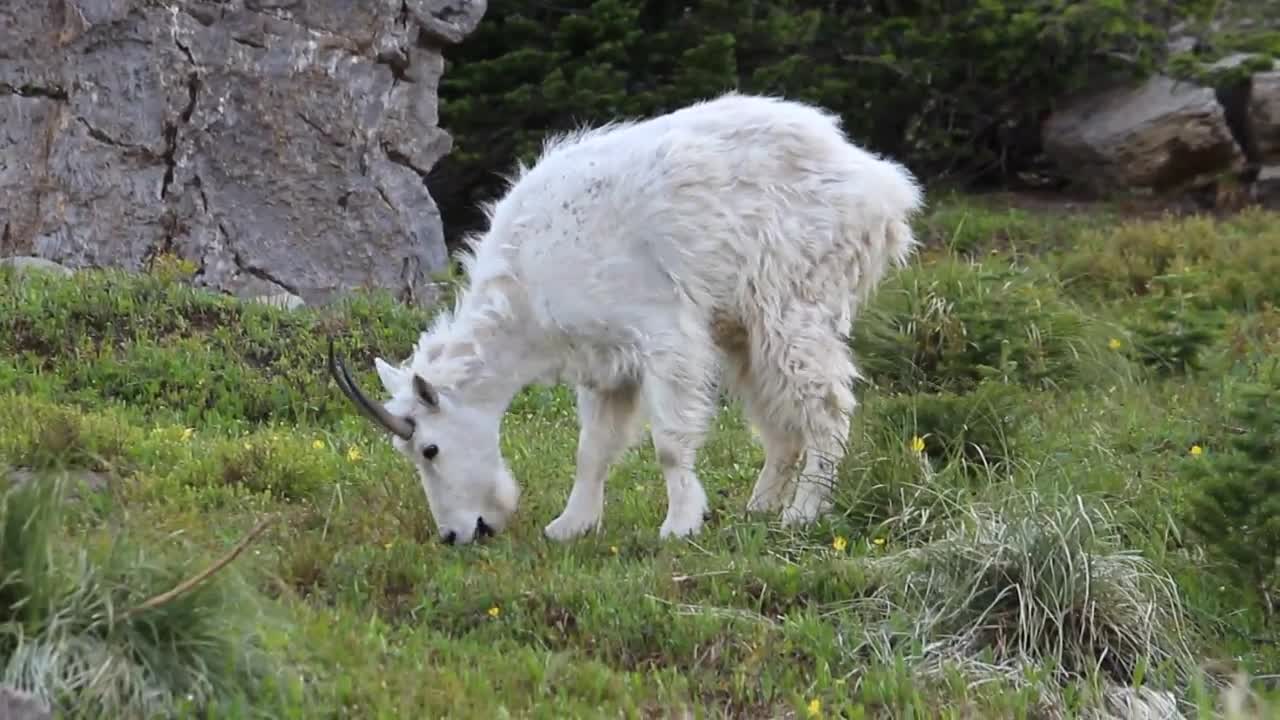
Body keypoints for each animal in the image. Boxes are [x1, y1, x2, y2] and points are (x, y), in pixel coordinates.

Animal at [330, 94, 921, 543]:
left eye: (429, 448)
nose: (458, 534)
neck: (529, 286)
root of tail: (885, 190)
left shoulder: (664, 335)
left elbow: (669, 442)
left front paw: (680, 527)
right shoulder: (605, 363)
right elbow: (592, 449)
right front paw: (569, 526)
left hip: (795, 302)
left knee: (826, 407)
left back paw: (803, 512)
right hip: (743, 329)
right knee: (778, 423)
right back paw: (759, 507)